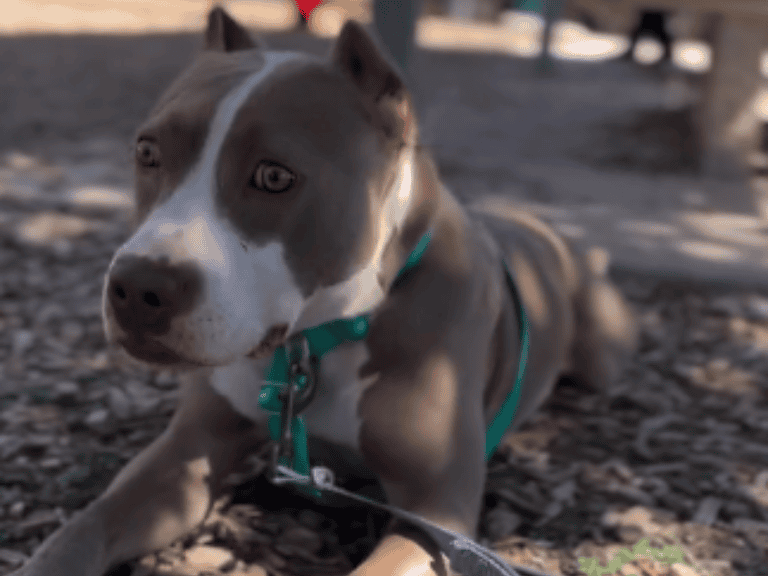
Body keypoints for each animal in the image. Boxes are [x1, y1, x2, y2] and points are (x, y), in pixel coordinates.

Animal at [12, 9, 636, 576]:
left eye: (274, 176)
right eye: (147, 152)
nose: (138, 286)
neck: (319, 339)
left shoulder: (437, 514)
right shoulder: (183, 457)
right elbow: (82, 529)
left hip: (603, 362)